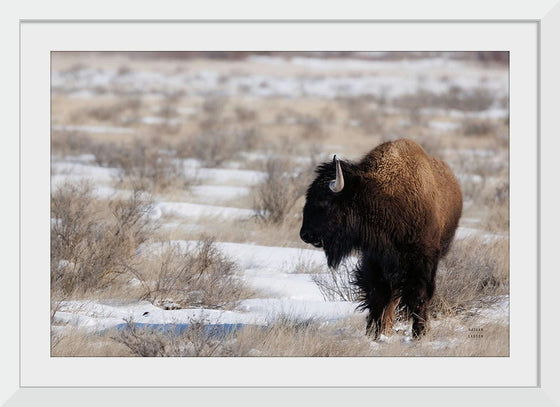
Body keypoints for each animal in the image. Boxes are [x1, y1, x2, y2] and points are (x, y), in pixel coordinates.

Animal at [300, 139, 462, 340]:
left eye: (324, 201)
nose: (305, 234)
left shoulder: (422, 260)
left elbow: (418, 296)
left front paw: (419, 334)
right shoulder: (375, 259)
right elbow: (377, 296)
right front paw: (373, 334)